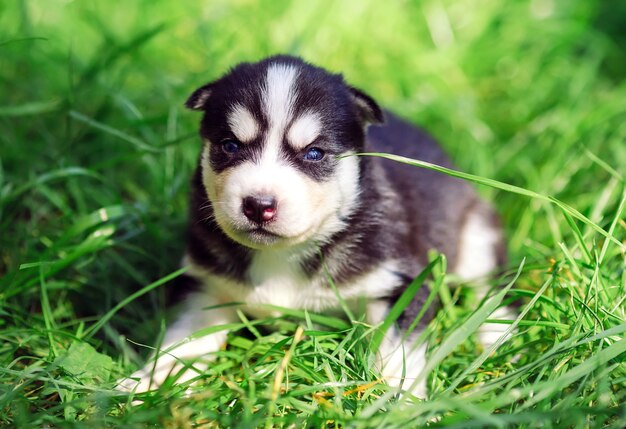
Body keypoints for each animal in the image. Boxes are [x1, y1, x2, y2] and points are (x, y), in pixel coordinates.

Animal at [119, 55, 510, 396]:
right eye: (229, 146)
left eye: (314, 153)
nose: (259, 205)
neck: (283, 255)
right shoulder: (205, 286)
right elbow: (183, 341)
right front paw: (149, 383)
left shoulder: (402, 281)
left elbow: (398, 351)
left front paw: (394, 401)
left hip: (476, 237)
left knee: (492, 288)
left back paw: (498, 334)